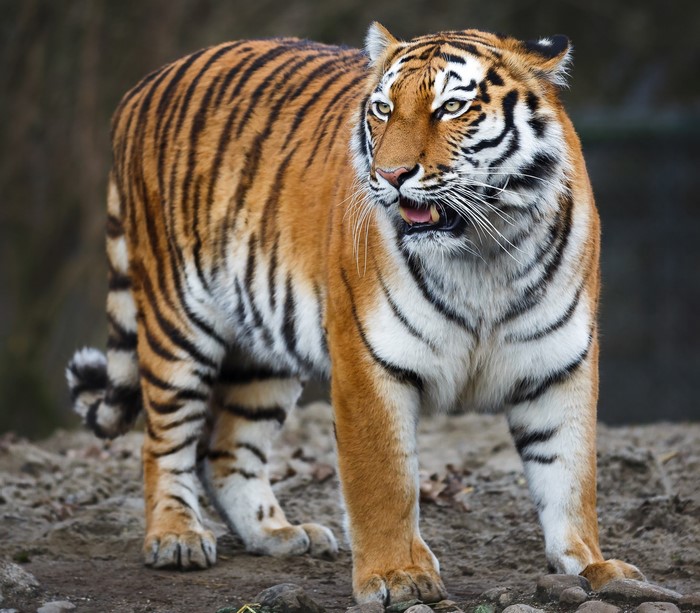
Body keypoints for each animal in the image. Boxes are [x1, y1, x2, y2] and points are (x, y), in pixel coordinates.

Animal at [66, 22, 646, 605]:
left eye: (452, 107)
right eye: (384, 109)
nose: (390, 174)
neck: (485, 251)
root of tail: (145, 85)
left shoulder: (560, 365)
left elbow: (571, 476)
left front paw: (595, 566)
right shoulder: (369, 360)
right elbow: (383, 481)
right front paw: (395, 575)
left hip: (261, 347)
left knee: (227, 448)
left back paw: (278, 534)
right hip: (178, 320)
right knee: (164, 440)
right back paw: (175, 537)